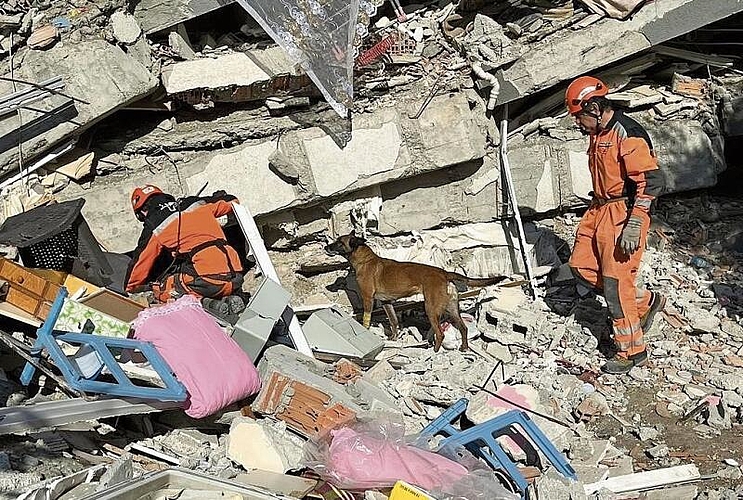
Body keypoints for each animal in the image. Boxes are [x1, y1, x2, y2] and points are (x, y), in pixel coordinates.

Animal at [328, 233, 516, 352]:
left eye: (339, 242)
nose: (325, 246)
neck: (365, 259)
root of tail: (444, 273)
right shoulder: (387, 302)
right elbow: (394, 321)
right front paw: (394, 338)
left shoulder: (368, 299)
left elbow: (367, 319)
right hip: (451, 309)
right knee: (463, 328)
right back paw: (464, 347)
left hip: (431, 308)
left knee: (440, 333)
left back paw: (434, 351)